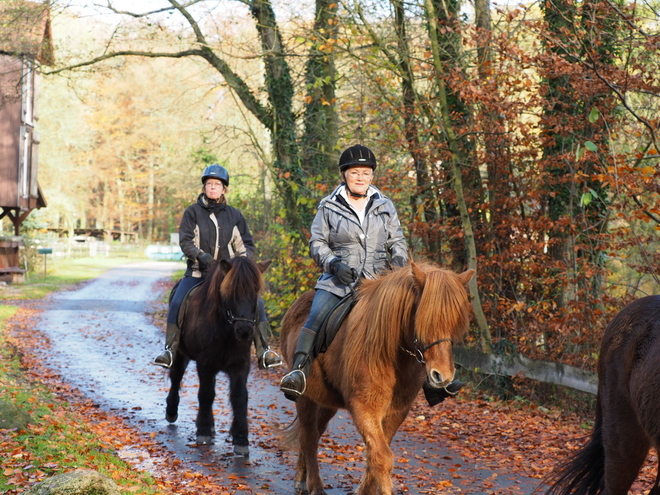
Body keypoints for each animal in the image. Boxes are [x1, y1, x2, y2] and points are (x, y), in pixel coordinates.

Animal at [165, 258, 270, 456]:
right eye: (230, 291)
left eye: (255, 290)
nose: (245, 331)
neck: (225, 329)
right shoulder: (206, 364)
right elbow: (206, 394)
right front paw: (204, 431)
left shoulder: (240, 365)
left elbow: (239, 397)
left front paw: (241, 439)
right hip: (180, 353)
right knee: (176, 377)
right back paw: (172, 411)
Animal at [280, 262, 474, 494]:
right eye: (423, 320)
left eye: (455, 323)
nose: (442, 375)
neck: (390, 353)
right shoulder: (364, 409)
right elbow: (382, 457)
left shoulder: (396, 412)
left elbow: (377, 455)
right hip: (305, 398)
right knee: (308, 436)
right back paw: (314, 485)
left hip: (327, 402)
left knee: (314, 432)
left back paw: (301, 477)